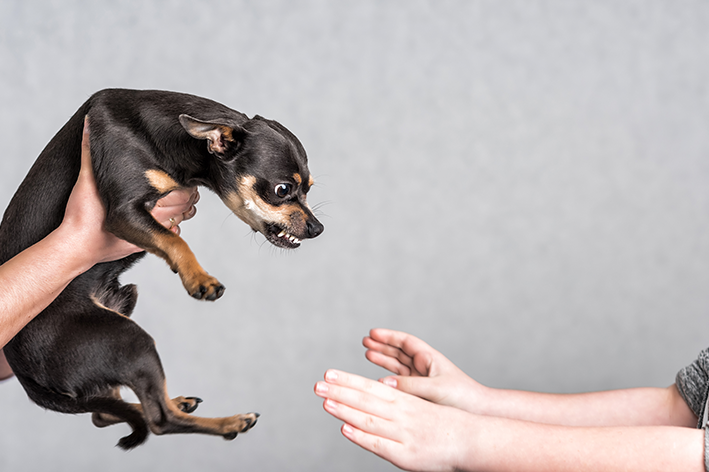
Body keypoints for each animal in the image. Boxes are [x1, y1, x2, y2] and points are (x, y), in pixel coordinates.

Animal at [0, 89, 324, 450]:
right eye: (283, 190)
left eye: (309, 188)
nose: (317, 228)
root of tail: (25, 377)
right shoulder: (122, 214)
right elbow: (174, 240)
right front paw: (199, 278)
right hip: (130, 340)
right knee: (159, 421)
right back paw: (228, 422)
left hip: (123, 309)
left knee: (107, 411)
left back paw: (177, 402)